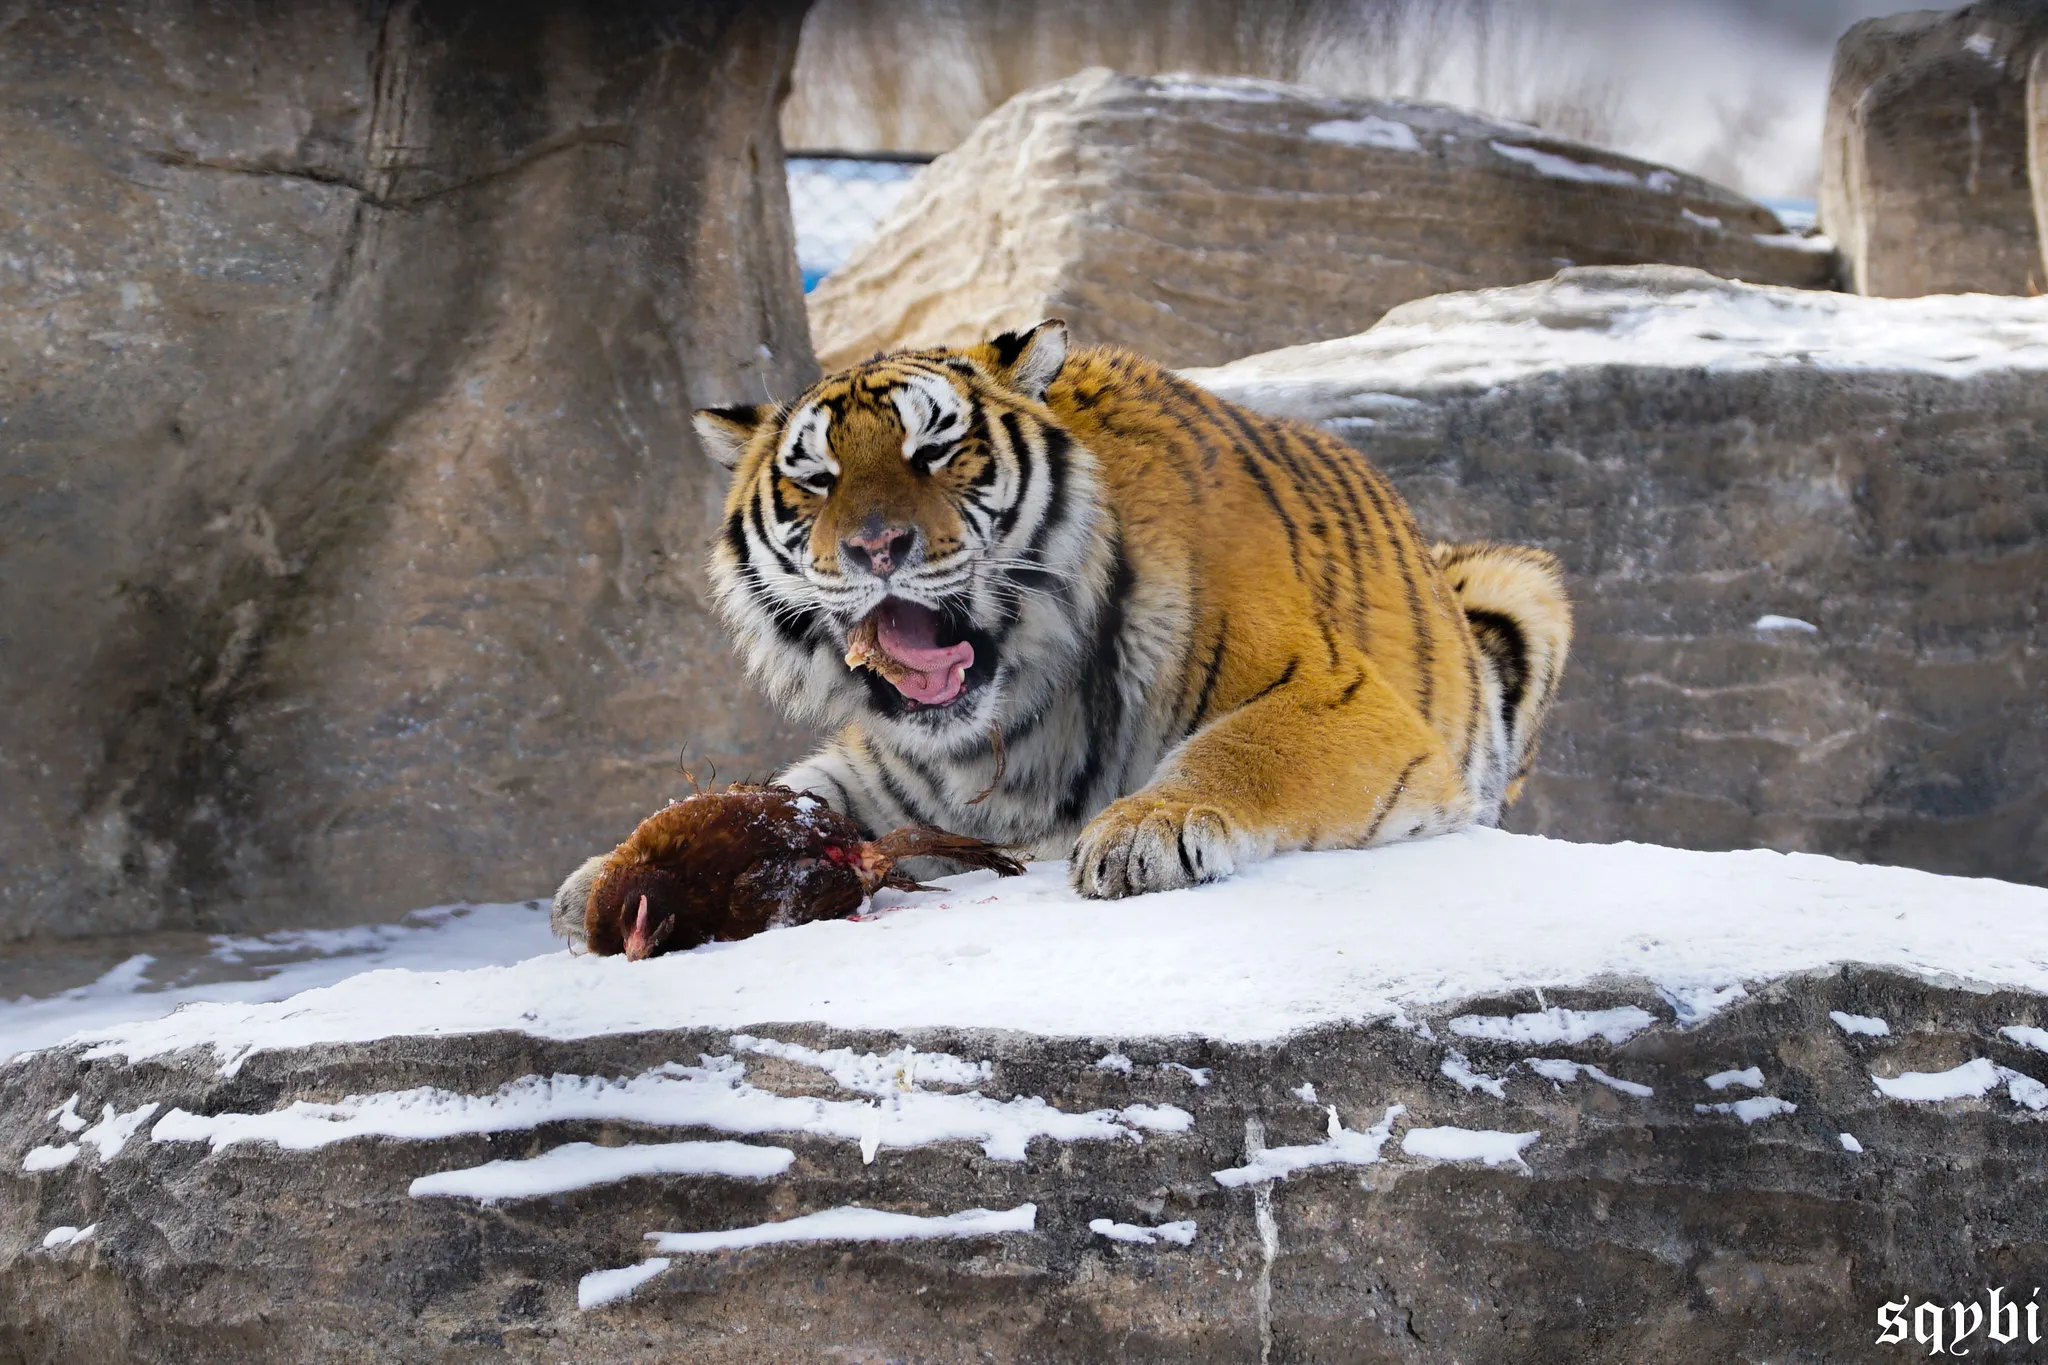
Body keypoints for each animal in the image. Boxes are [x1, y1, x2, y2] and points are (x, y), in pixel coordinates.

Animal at [548, 321, 1564, 933]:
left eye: (935, 450)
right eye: (818, 479)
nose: (878, 547)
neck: (1009, 716)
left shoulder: (1337, 693)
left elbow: (1240, 748)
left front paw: (1147, 830)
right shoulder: (886, 774)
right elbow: (793, 795)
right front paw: (605, 870)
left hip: (1522, 585)